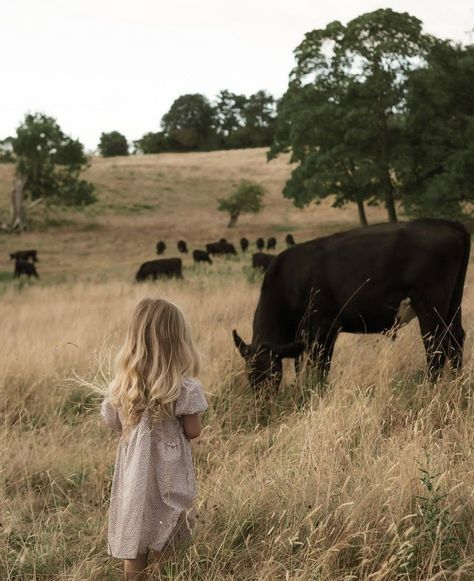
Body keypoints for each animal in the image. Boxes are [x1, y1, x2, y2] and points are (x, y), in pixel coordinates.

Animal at [233, 218, 470, 390]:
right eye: (250, 377)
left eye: (273, 375)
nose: (263, 408)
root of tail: (448, 224)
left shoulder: (323, 329)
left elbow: (320, 367)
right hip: (452, 305)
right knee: (455, 340)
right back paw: (457, 383)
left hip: (430, 307)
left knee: (436, 347)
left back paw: (430, 389)